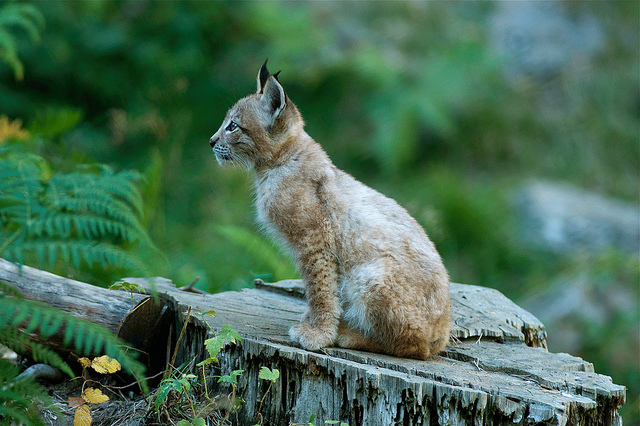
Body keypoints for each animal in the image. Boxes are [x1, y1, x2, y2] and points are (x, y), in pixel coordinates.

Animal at [210, 60, 450, 360]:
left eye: (233, 126)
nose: (210, 141)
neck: (274, 165)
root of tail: (445, 331)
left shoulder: (315, 240)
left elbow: (320, 288)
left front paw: (319, 335)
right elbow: (320, 290)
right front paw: (314, 324)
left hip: (367, 275)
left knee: (416, 347)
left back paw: (351, 335)